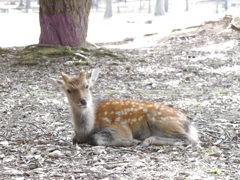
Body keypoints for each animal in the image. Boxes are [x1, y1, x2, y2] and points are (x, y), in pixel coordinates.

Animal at [52, 69, 199, 146]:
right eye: (68, 90)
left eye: (86, 86)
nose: (83, 101)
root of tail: (187, 122)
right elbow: (75, 139)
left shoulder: (120, 127)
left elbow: (97, 138)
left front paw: (131, 141)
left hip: (161, 121)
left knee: (191, 139)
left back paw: (146, 140)